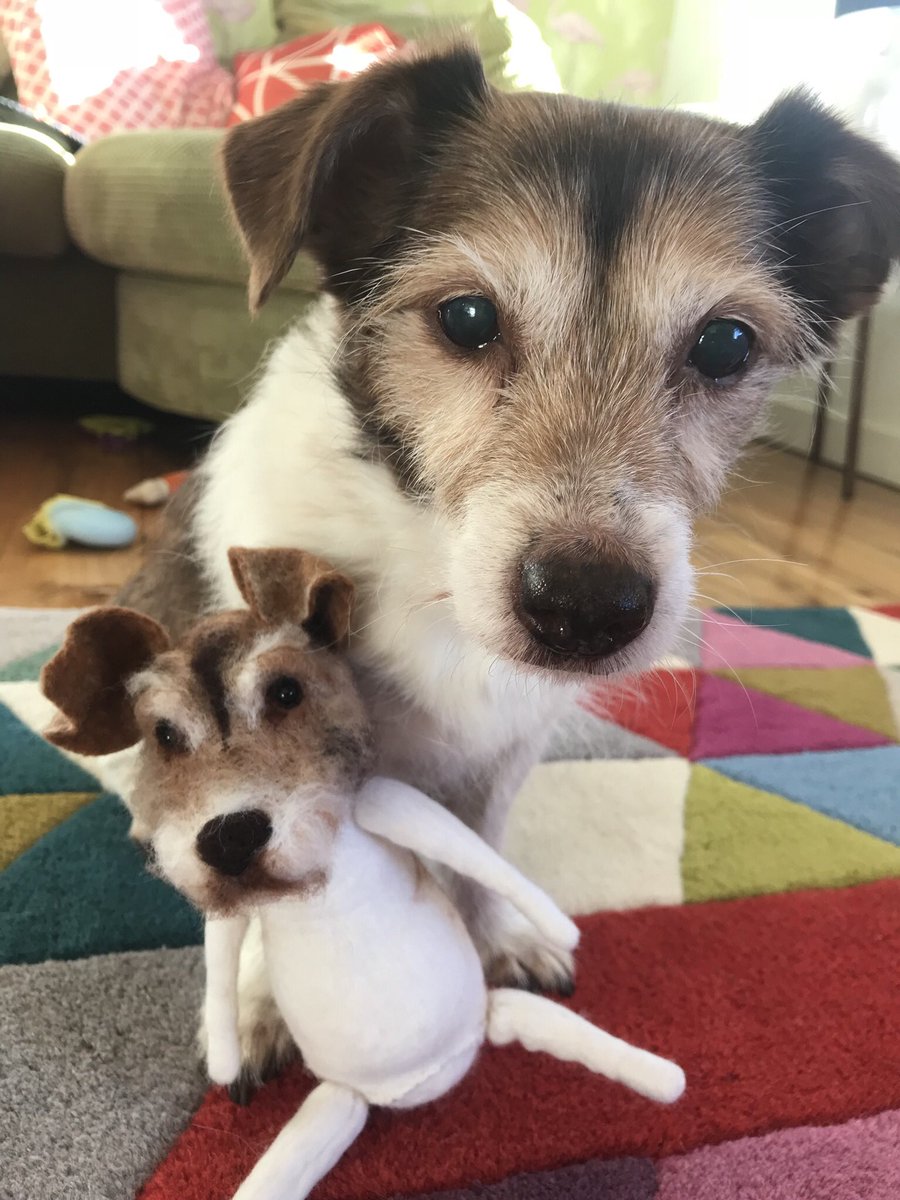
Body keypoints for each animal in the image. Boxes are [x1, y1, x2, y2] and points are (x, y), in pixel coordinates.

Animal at [121, 44, 900, 1099]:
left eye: (727, 342)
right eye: (465, 316)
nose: (586, 608)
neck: (431, 576)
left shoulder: (508, 748)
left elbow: (481, 847)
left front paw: (495, 938)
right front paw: (254, 1008)